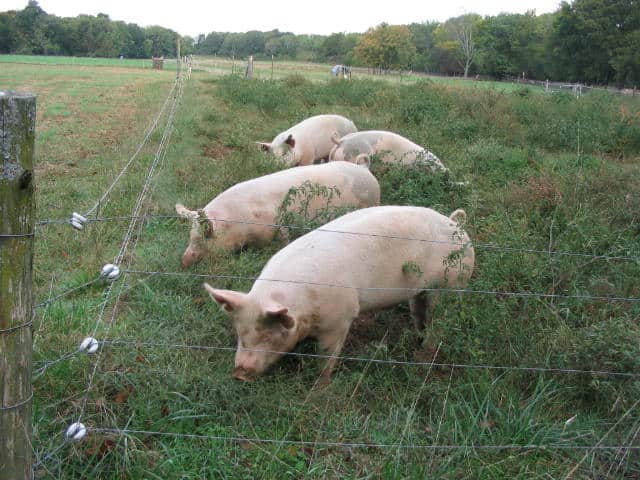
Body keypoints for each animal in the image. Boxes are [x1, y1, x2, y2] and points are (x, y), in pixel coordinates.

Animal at [175, 161, 380, 268]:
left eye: (205, 237)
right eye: (190, 236)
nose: (183, 261)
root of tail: (365, 170)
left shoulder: (276, 224)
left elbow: (283, 238)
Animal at [204, 205, 474, 382]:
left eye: (270, 336)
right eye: (240, 333)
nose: (239, 374)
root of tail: (457, 225)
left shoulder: (340, 320)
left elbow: (328, 358)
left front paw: (319, 386)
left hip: (452, 284)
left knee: (439, 322)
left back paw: (423, 358)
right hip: (421, 290)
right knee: (420, 313)